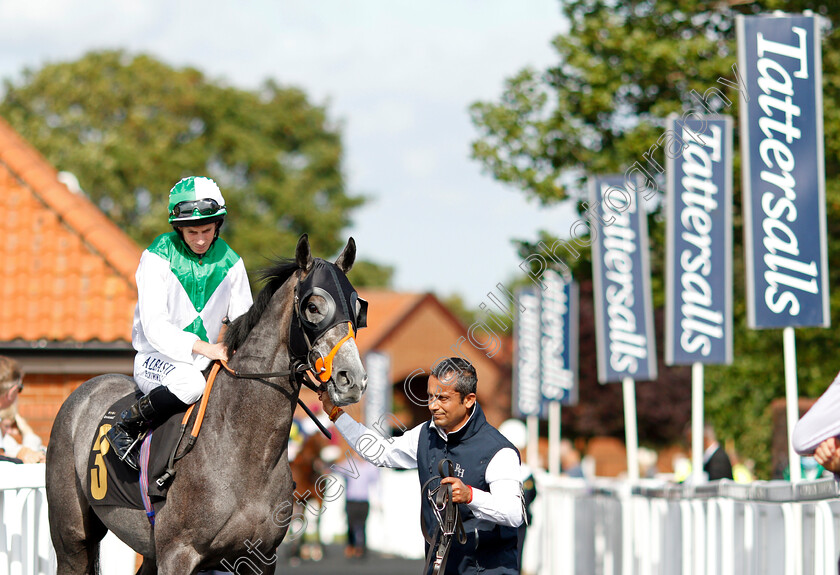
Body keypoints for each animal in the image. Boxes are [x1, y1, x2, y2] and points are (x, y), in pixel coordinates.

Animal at [46, 236, 368, 572]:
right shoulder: (177, 555)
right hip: (71, 539)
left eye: (358, 308)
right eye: (313, 306)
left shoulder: (261, 557)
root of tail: (87, 388)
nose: (352, 379)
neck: (245, 451)